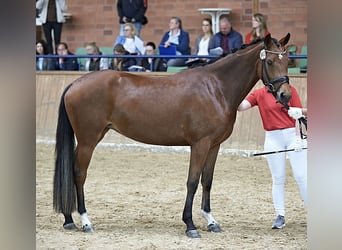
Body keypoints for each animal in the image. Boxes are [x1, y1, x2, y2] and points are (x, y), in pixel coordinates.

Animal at [52, 33, 292, 238]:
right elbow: (192, 182)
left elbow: (207, 181)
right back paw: (85, 221)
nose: (285, 95)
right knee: (79, 174)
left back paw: (69, 219)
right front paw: (190, 225)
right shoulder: (200, 144)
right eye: (271, 62)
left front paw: (211, 221)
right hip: (88, 141)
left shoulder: (214, 146)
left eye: (288, 60)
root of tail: (74, 83)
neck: (215, 88)